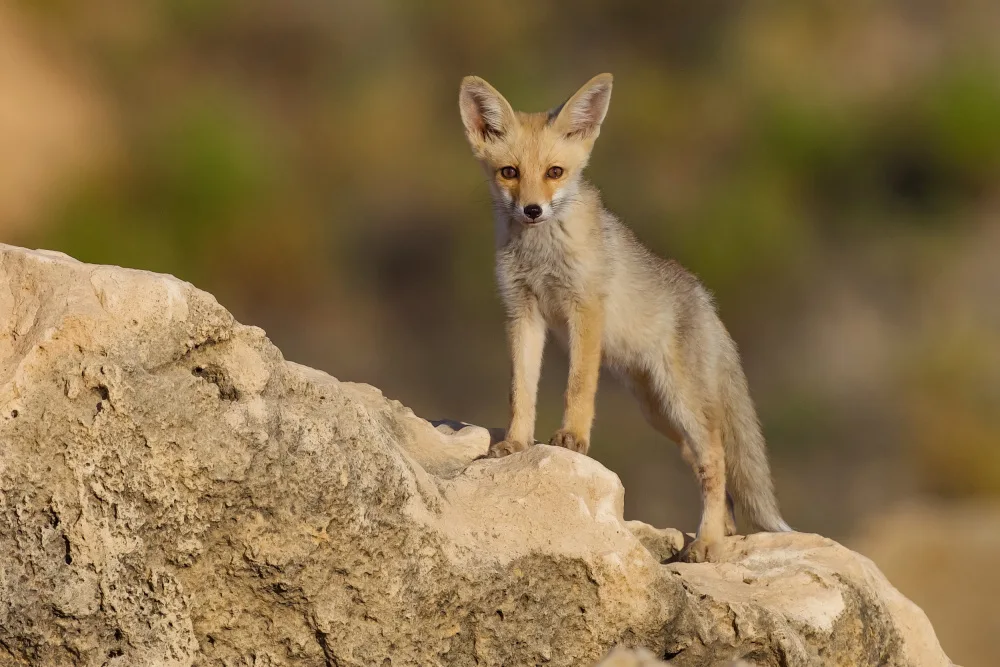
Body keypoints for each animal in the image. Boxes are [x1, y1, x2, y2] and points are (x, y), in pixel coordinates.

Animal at [458, 73, 792, 562]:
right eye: (509, 173)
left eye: (555, 172)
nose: (532, 210)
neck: (540, 254)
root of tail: (706, 299)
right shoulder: (522, 312)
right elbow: (521, 391)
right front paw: (516, 444)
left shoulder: (584, 308)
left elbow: (578, 386)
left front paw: (573, 439)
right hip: (660, 414)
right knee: (708, 465)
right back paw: (724, 530)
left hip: (680, 403)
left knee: (716, 457)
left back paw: (708, 542)